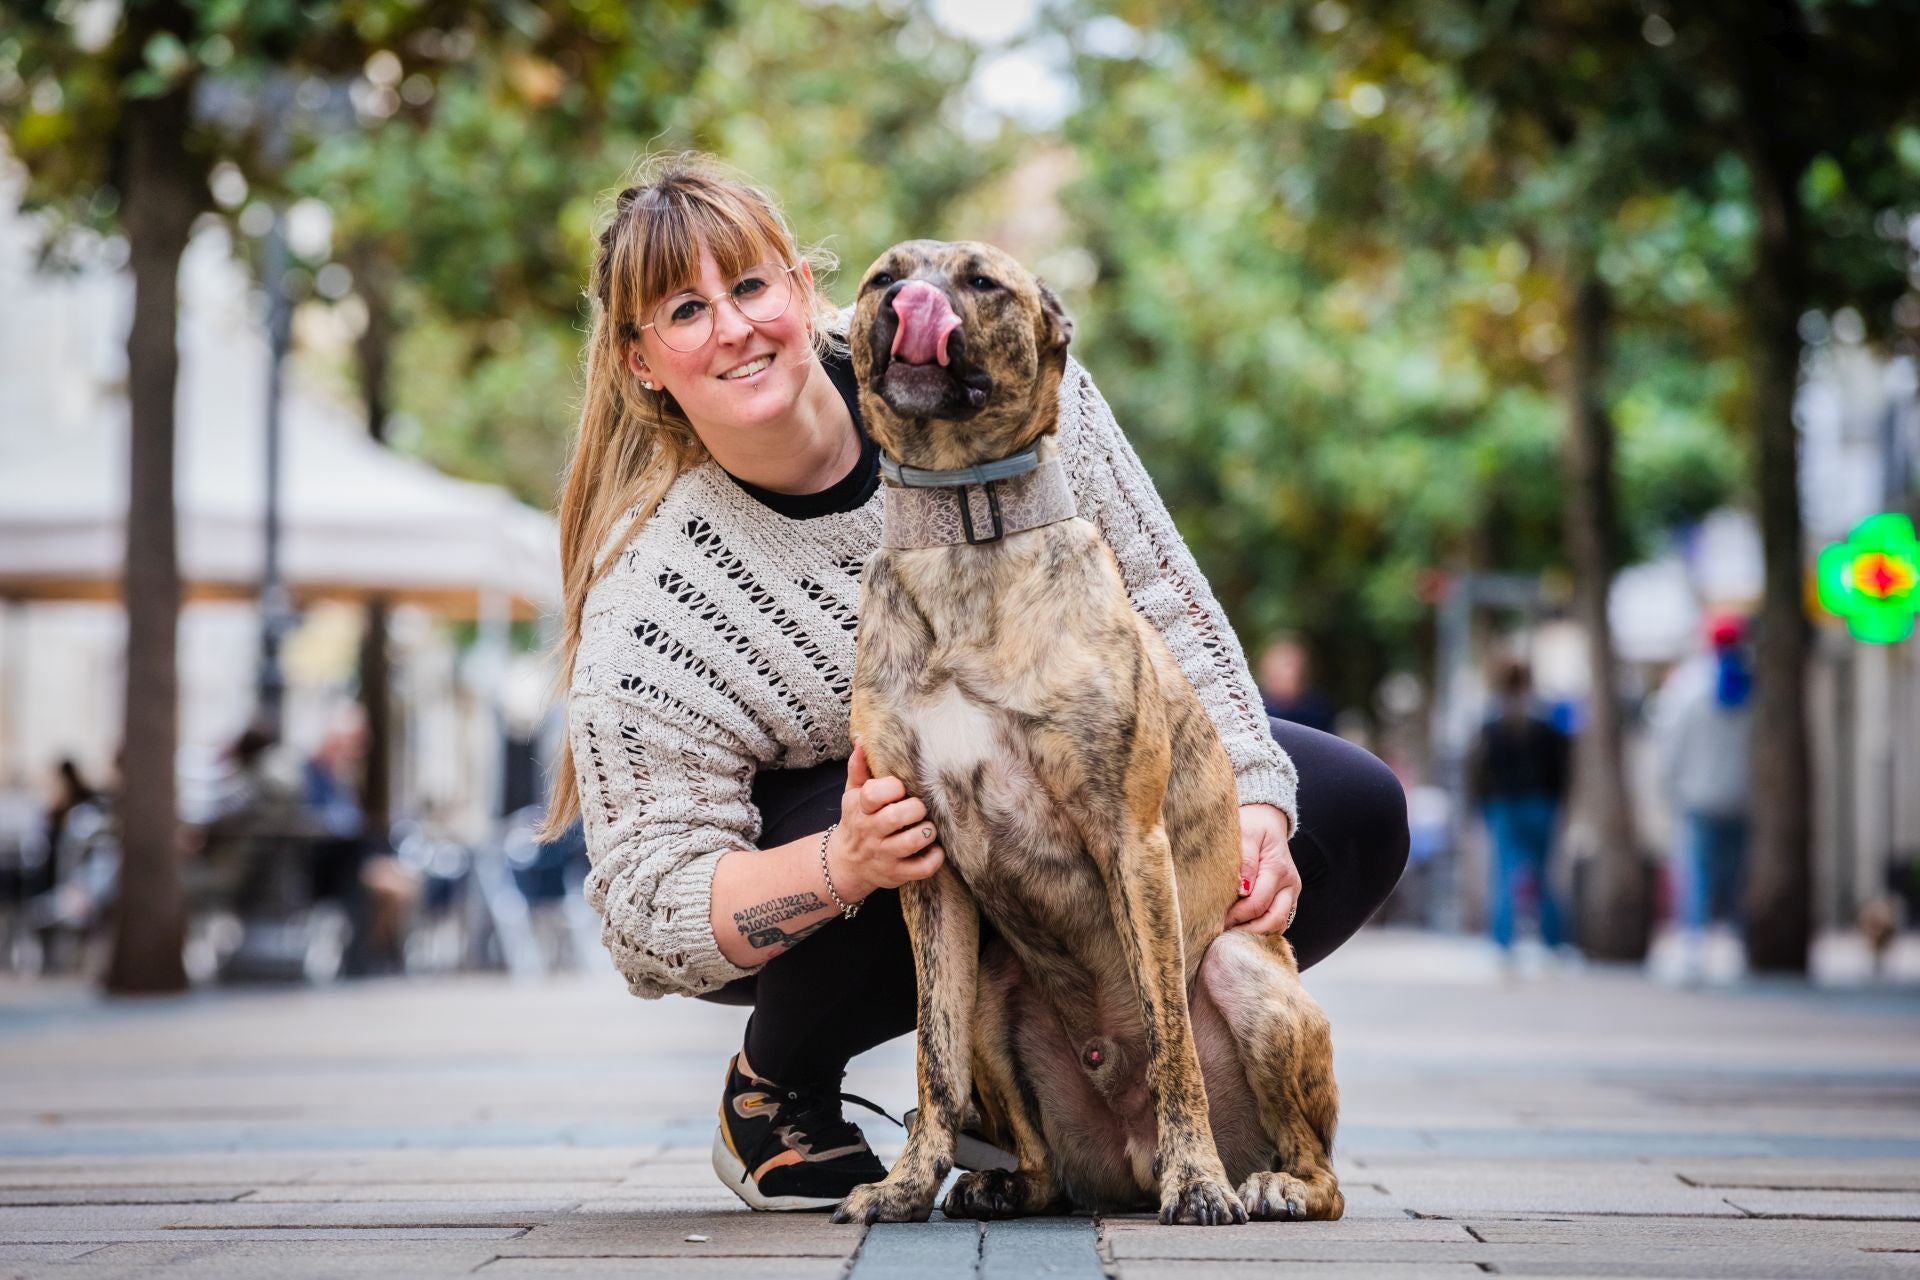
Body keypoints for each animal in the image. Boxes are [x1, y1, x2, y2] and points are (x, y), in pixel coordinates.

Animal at [833, 239, 1344, 1228]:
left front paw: (1200, 1183)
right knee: (1027, 1150)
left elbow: (1171, 1041)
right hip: (993, 991)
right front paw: (906, 1184)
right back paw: (1000, 1183)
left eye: (982, 281)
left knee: (1323, 1171)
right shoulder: (925, 866)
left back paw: (1261, 1183)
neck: (965, 538)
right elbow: (932, 1062)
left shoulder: (1130, 842)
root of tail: (1125, 1160)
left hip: (1245, 970)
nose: (911, 301)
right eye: (884, 275)